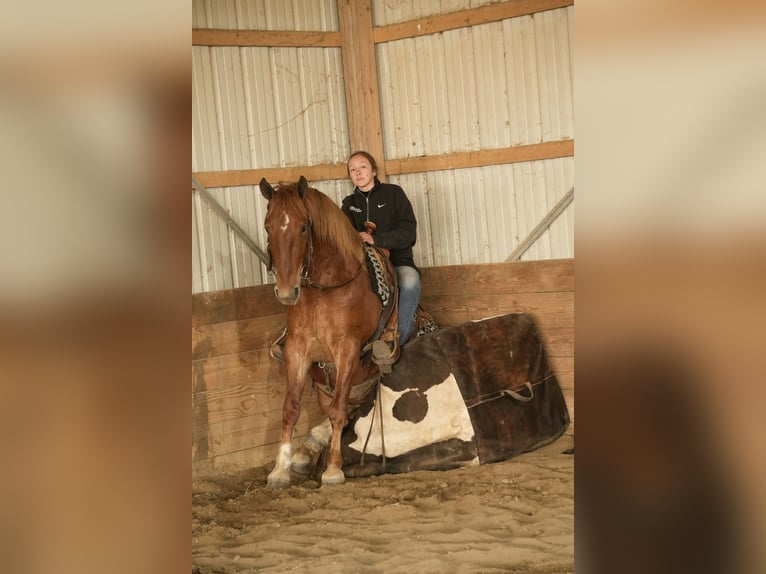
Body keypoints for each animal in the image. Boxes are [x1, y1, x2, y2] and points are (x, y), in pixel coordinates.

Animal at [260, 176, 383, 487]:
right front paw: (280, 469)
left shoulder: (347, 350)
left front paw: (334, 469)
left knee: (351, 405)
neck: (324, 292)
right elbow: (291, 408)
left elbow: (339, 409)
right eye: (268, 226)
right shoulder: (297, 350)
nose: (286, 292)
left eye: (304, 226)